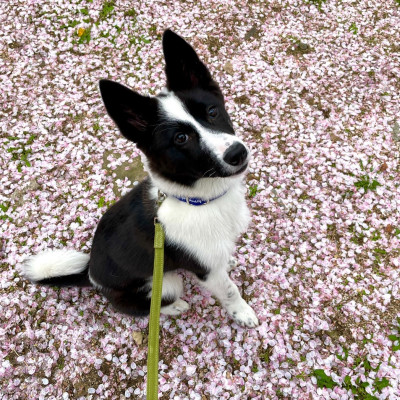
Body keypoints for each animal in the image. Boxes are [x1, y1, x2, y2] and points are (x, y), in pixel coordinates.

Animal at [22, 30, 259, 328]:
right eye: (181, 138)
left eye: (212, 112)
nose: (237, 154)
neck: (197, 199)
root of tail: (91, 276)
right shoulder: (206, 270)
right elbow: (229, 290)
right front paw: (243, 312)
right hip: (165, 283)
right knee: (148, 306)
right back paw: (175, 306)